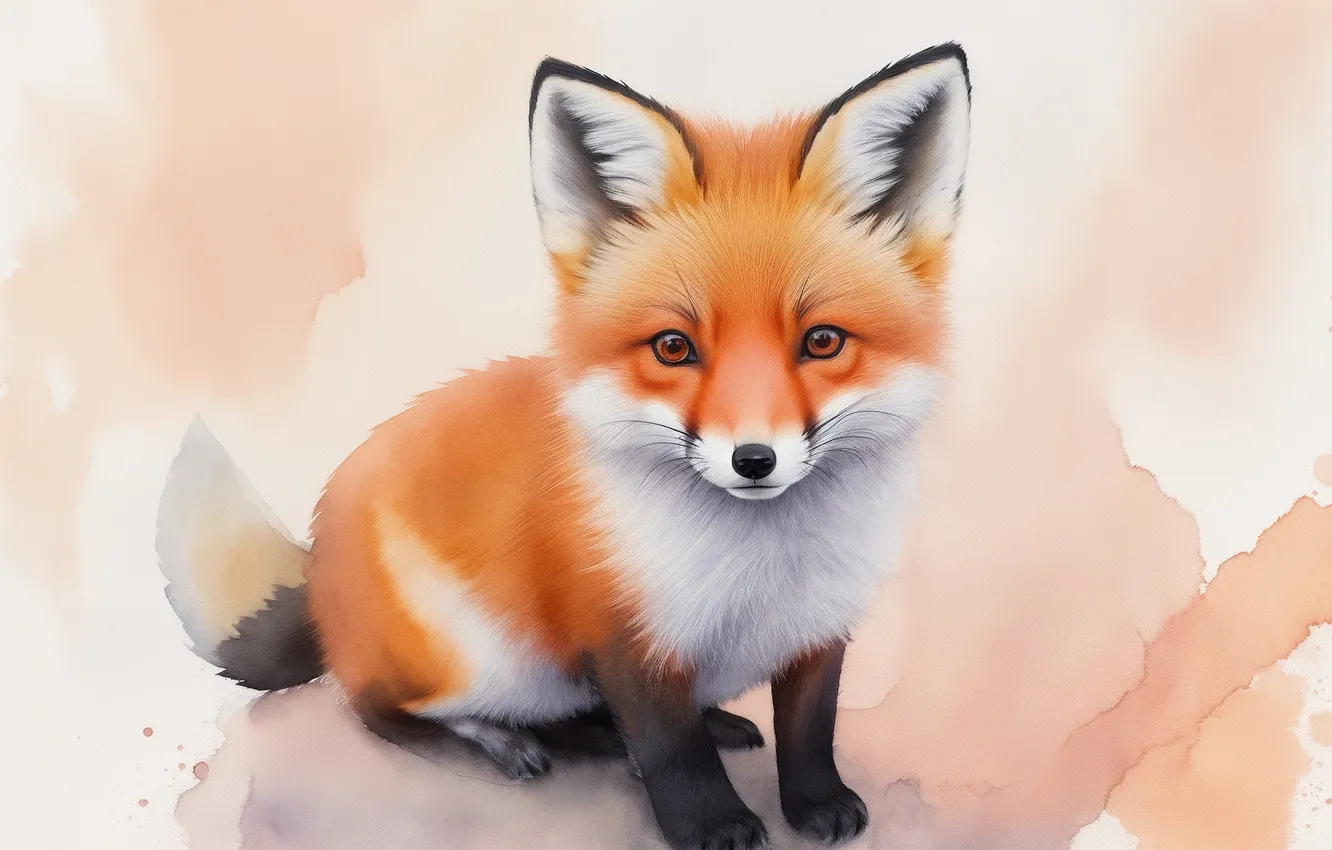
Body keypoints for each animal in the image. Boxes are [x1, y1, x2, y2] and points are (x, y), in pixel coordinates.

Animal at [156, 43, 971, 850]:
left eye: (822, 341)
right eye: (673, 347)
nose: (753, 460)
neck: (764, 567)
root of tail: (321, 566)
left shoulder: (819, 627)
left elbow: (809, 728)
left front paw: (814, 803)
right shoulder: (620, 633)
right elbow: (671, 748)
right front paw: (711, 824)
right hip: (484, 661)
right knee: (381, 708)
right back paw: (498, 740)